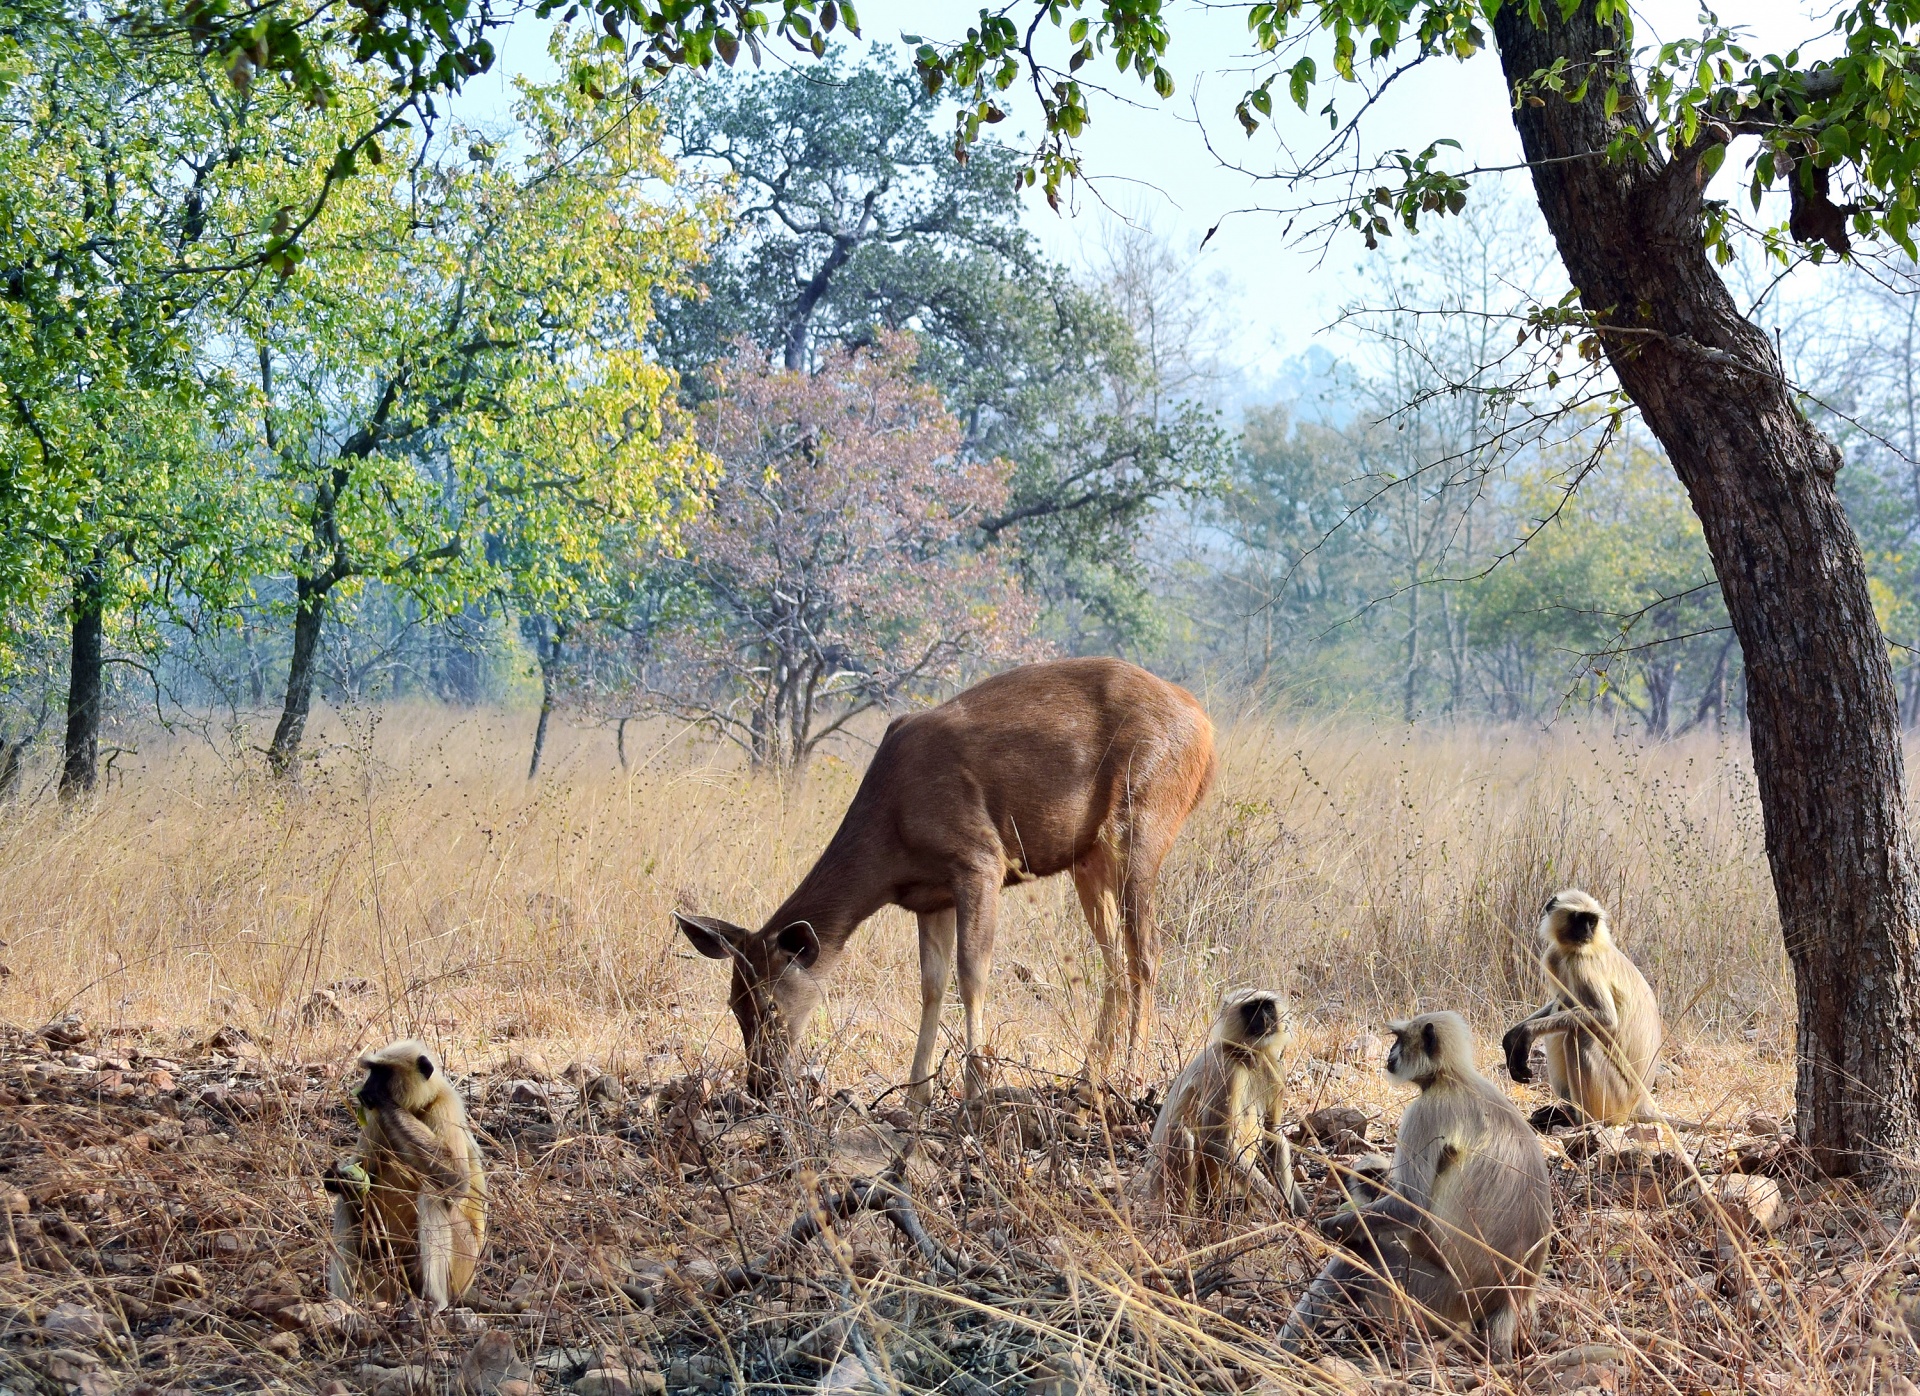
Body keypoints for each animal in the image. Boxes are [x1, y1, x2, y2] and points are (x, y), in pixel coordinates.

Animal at [326, 1036, 487, 1313]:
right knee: (346, 1201)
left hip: (462, 1266)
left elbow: (456, 1181)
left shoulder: (445, 1106)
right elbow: (359, 1172)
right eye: (372, 1071)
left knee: (433, 1190)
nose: (366, 1086)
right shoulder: (376, 1118)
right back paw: (343, 1303)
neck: (418, 1108)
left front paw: (386, 1100)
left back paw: (436, 1301)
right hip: (385, 1271)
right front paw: (339, 1179)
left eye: (382, 1073)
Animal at [675, 656, 1213, 1106]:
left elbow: (971, 974)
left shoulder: (980, 860)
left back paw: (1131, 1074)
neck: (890, 843)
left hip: (1143, 821)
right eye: (733, 1003)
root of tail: (1205, 732)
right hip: (1089, 860)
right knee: (1115, 962)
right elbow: (931, 985)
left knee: (1147, 955)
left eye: (769, 1005)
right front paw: (916, 1093)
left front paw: (974, 1087)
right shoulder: (929, 898)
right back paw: (1087, 1079)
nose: (760, 1083)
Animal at [1144, 990, 1313, 1221]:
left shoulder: (1276, 1069)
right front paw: (1278, 1203)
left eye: (1267, 1007)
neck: (1248, 1054)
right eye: (1251, 1009)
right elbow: (1217, 1141)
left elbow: (1273, 1136)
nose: (1265, 1019)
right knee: (1182, 1133)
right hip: (1166, 1183)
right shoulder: (1226, 1068)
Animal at [1282, 1013, 1551, 1367]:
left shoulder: (1424, 1111)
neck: (1451, 1077)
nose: (1390, 1054)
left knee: (1358, 1259)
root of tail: (1508, 1299)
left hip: (1441, 1297)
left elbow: (1410, 1206)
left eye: (1398, 1039)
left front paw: (1330, 1226)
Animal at [1505, 894, 1658, 1136]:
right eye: (1579, 919)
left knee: (1578, 1035)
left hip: (1618, 1098)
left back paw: (1583, 1122)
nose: (1586, 932)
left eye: (1592, 921)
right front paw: (1512, 1036)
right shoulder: (1556, 956)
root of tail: (1641, 1102)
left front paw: (1525, 1032)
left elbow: (1604, 1016)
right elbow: (1558, 1001)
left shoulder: (1581, 961)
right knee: (1563, 1015)